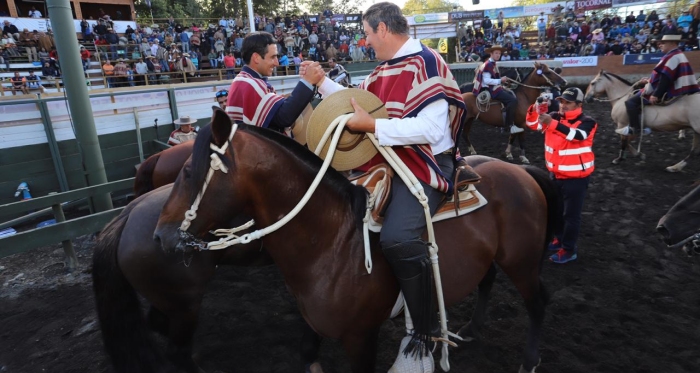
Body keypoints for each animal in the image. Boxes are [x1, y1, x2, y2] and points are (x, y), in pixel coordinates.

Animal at [94, 109, 564, 370]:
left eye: (190, 172)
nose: (162, 236)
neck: (333, 243)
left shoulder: (361, 340)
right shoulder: (313, 326)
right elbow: (307, 353)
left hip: (522, 261)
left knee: (538, 301)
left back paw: (529, 361)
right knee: (487, 281)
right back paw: (472, 329)